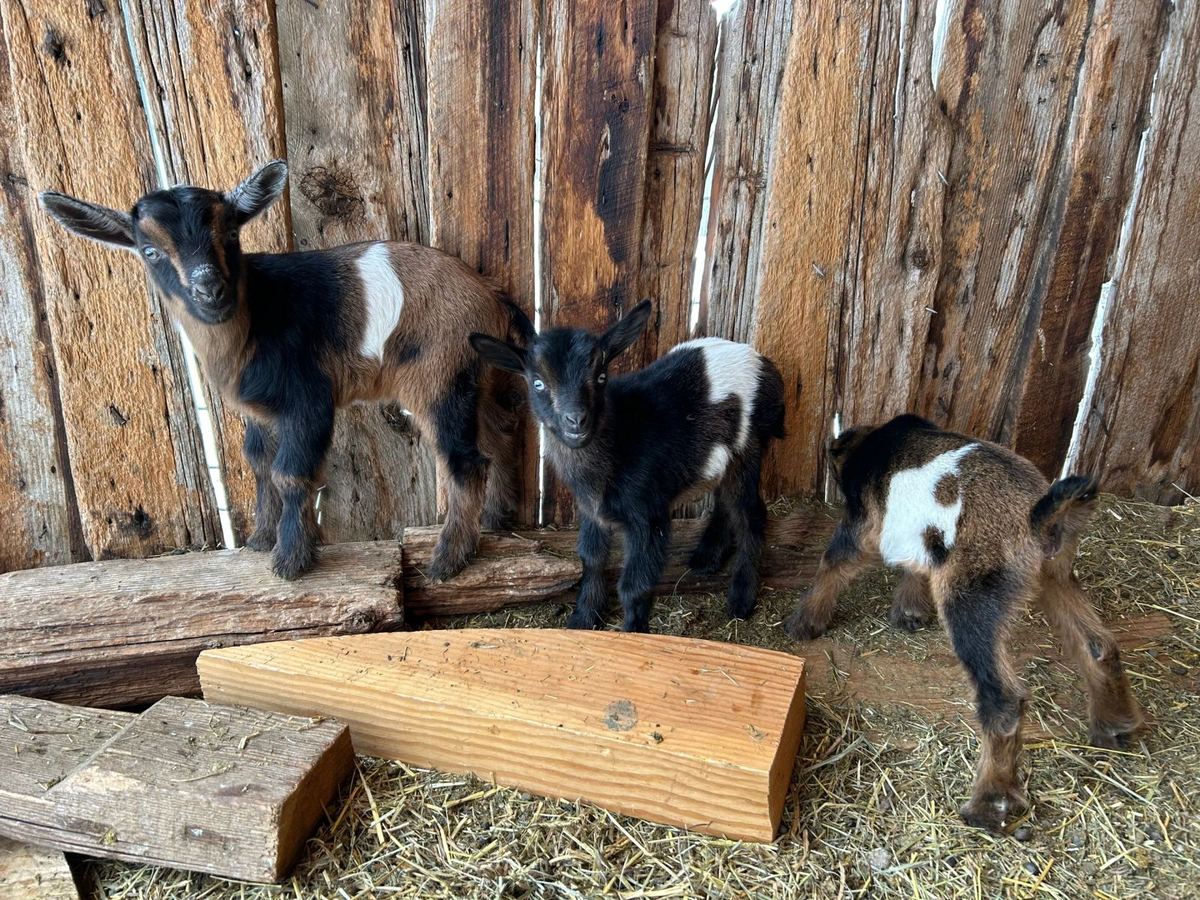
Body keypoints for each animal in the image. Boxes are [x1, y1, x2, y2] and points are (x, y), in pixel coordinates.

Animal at [41, 161, 522, 581]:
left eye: (230, 233)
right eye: (151, 250)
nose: (210, 290)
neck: (254, 319)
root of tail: (490, 297)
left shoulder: (308, 402)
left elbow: (290, 473)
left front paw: (290, 561)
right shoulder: (261, 413)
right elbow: (258, 463)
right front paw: (260, 540)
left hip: (439, 380)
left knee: (465, 461)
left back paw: (447, 561)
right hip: (476, 379)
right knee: (498, 437)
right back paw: (496, 520)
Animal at [471, 301, 785, 632]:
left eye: (601, 376)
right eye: (538, 382)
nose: (576, 421)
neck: (617, 442)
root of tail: (767, 367)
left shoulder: (648, 515)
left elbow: (634, 585)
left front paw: (634, 632)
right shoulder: (592, 512)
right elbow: (591, 560)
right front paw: (584, 618)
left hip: (749, 448)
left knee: (750, 514)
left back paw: (741, 598)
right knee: (727, 501)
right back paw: (706, 559)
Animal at [783, 414, 1142, 833]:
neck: (877, 441)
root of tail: (1036, 515)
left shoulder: (860, 526)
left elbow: (833, 564)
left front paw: (804, 620)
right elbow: (915, 564)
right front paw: (909, 610)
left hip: (969, 602)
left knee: (1002, 700)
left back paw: (990, 803)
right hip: (1056, 577)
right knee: (1098, 647)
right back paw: (1113, 724)